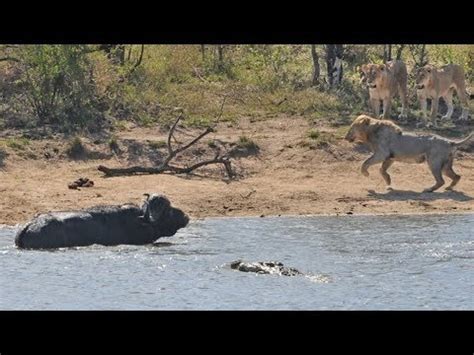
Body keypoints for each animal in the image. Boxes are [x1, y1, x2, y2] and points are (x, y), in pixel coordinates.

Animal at [344, 115, 474, 193]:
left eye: (351, 128)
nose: (345, 137)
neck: (370, 132)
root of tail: (449, 141)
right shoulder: (390, 157)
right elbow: (382, 169)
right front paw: (388, 182)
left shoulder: (382, 153)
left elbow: (365, 162)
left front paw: (365, 173)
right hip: (445, 165)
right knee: (457, 176)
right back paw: (449, 188)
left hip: (434, 162)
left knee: (441, 180)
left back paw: (428, 189)